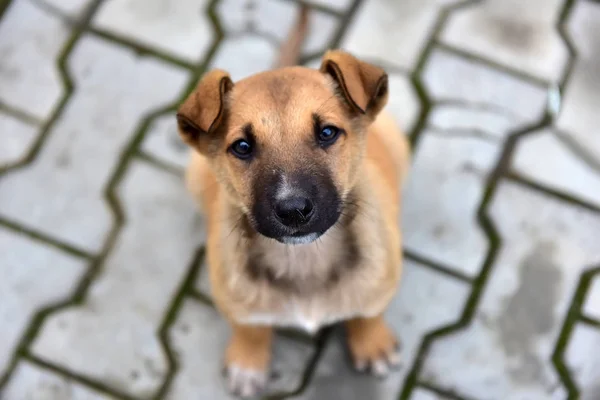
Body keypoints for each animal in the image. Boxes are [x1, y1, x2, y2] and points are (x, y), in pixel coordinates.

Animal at [176, 5, 410, 396]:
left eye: (327, 132)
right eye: (242, 146)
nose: (294, 211)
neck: (305, 258)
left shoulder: (381, 280)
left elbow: (368, 313)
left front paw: (372, 342)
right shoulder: (235, 298)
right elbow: (250, 327)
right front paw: (248, 361)